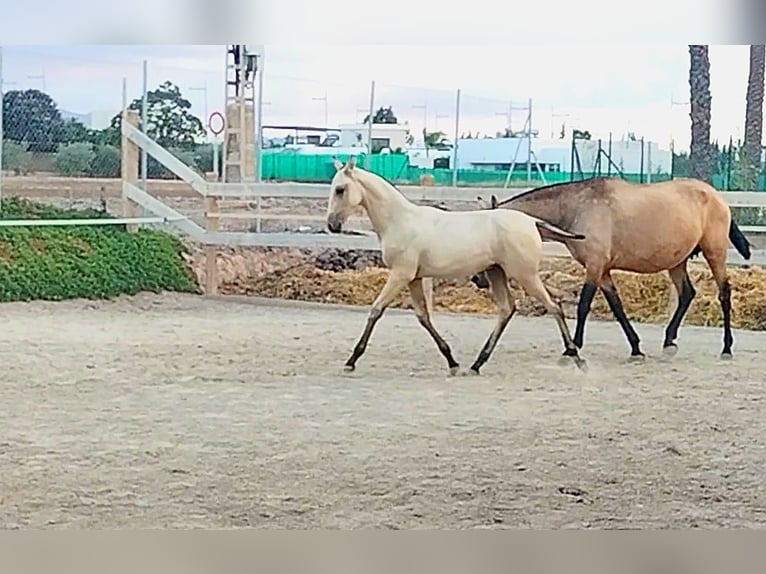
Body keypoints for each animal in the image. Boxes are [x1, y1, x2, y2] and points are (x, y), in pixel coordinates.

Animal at [326, 158, 588, 376]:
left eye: (340, 189)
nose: (332, 225)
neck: (399, 220)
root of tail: (531, 221)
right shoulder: (414, 278)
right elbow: (423, 317)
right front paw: (452, 361)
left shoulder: (401, 274)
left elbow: (376, 310)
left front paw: (351, 360)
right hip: (497, 272)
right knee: (507, 309)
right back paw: (476, 364)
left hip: (525, 275)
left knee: (554, 307)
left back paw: (576, 358)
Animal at [472, 178, 752, 362]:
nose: (478, 279)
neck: (577, 206)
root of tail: (716, 195)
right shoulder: (603, 271)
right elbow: (617, 307)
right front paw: (636, 348)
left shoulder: (595, 267)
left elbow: (584, 305)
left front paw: (572, 348)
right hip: (677, 262)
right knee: (687, 294)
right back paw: (669, 341)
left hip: (715, 253)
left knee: (724, 293)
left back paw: (726, 347)